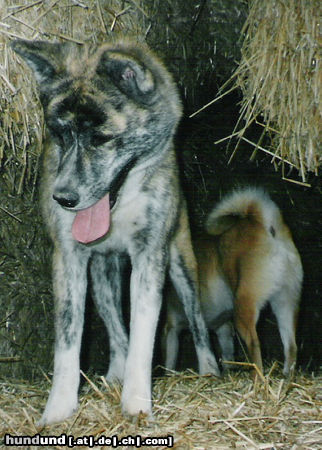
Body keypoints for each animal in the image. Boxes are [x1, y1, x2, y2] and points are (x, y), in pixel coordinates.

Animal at [165, 187, 304, 376]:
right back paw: (286, 377)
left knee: (254, 344)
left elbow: (169, 363)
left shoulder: (170, 329)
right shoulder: (223, 328)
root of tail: (266, 225)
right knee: (291, 347)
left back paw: (257, 378)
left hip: (244, 307)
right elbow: (227, 356)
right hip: (285, 304)